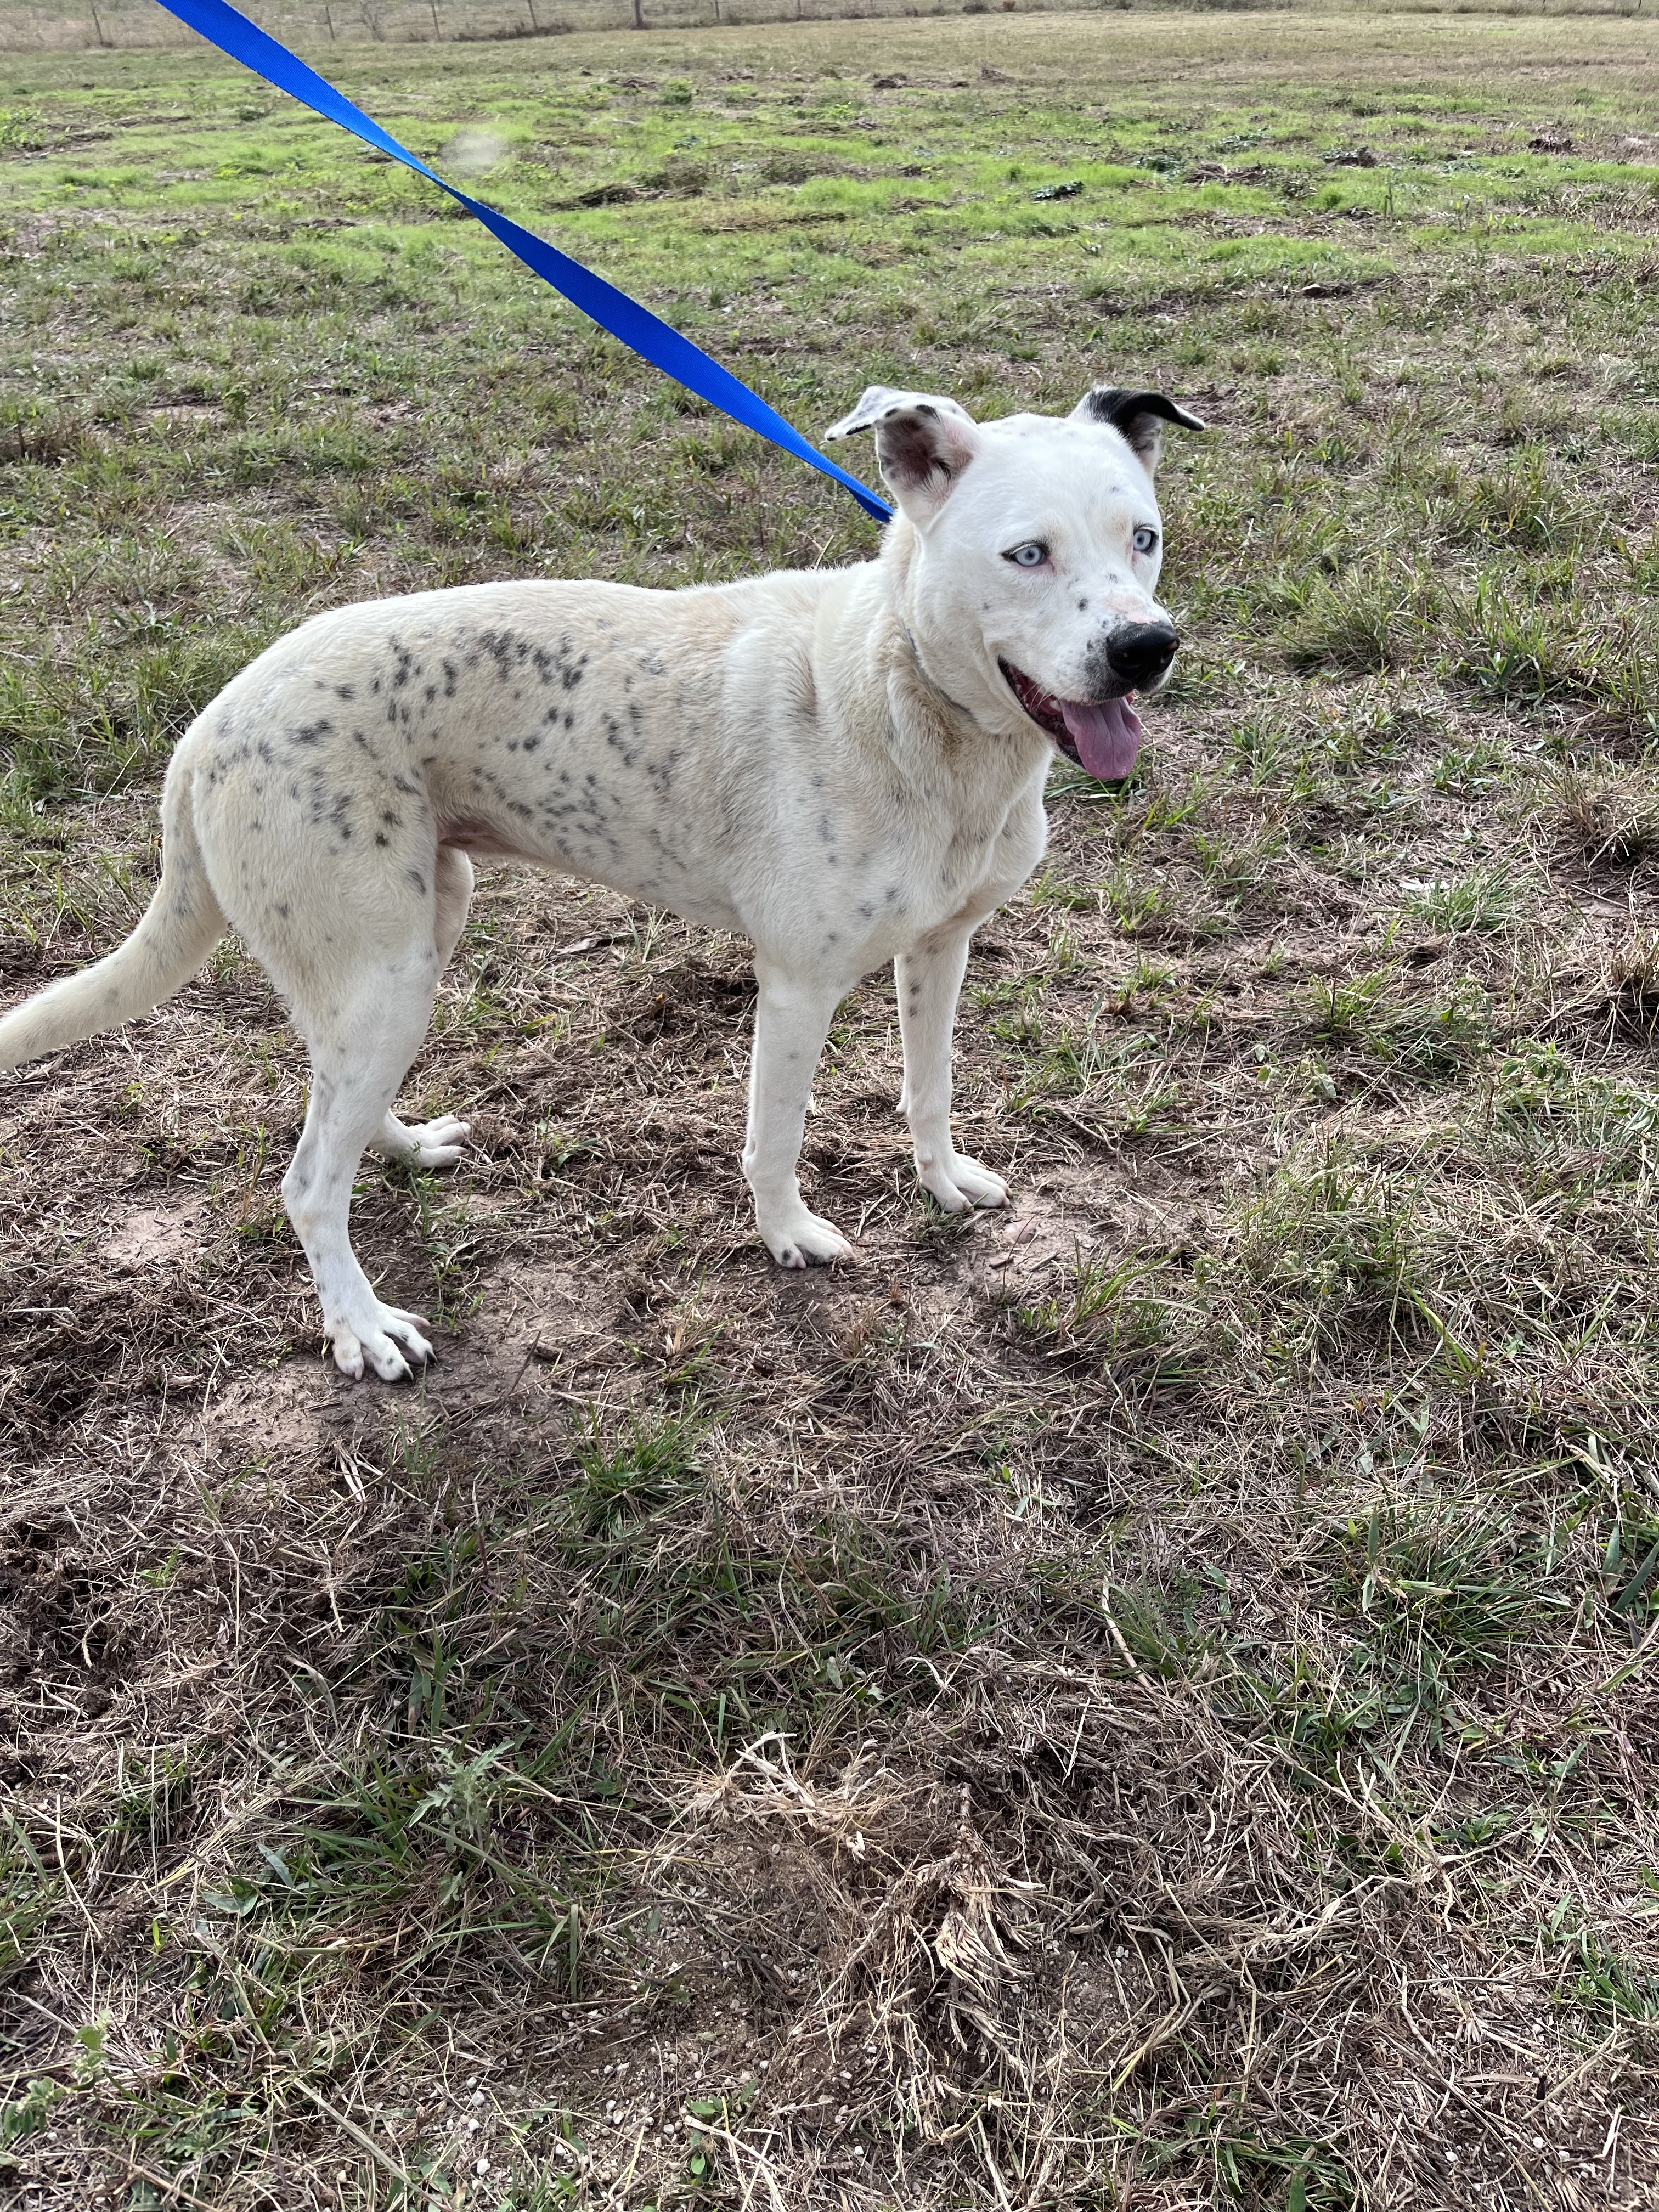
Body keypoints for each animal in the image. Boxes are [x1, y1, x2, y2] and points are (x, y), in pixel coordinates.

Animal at [0, 389, 1212, 1371]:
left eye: (1143, 539)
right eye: (1026, 554)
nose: (1146, 647)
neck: (907, 692)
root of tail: (211, 722)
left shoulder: (941, 948)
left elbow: (931, 1086)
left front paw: (942, 1180)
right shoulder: (798, 985)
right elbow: (775, 1139)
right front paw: (788, 1239)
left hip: (402, 949)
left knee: (334, 1105)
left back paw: (402, 1147)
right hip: (386, 972)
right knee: (305, 1183)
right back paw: (361, 1327)